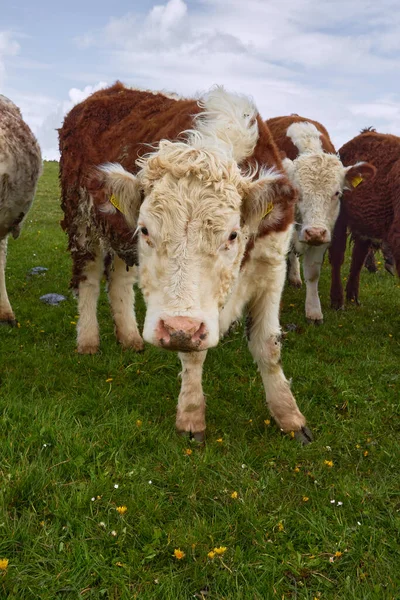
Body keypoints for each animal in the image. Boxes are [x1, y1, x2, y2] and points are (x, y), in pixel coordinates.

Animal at [58, 82, 312, 442]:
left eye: (232, 235)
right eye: (146, 229)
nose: (177, 328)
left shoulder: (272, 268)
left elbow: (268, 345)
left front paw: (289, 416)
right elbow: (193, 353)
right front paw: (191, 417)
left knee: (119, 280)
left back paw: (130, 337)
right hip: (82, 223)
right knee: (89, 280)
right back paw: (88, 340)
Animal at [266, 115, 376, 326]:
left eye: (337, 193)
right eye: (298, 193)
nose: (314, 232)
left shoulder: (325, 233)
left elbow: (313, 272)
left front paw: (313, 311)